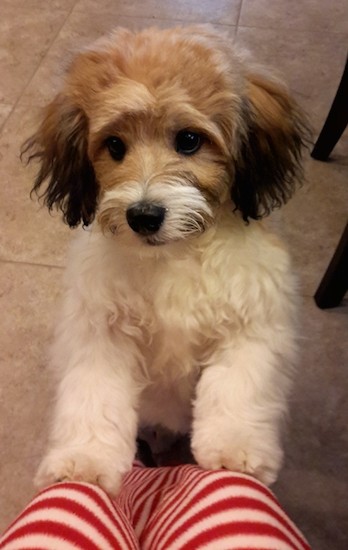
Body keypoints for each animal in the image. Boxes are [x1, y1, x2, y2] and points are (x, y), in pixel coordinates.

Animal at [23, 24, 308, 496]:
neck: (176, 253)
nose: (143, 216)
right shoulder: (101, 330)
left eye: (189, 140)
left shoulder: (253, 322)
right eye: (114, 145)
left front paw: (234, 447)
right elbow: (93, 395)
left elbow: (237, 386)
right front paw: (85, 459)